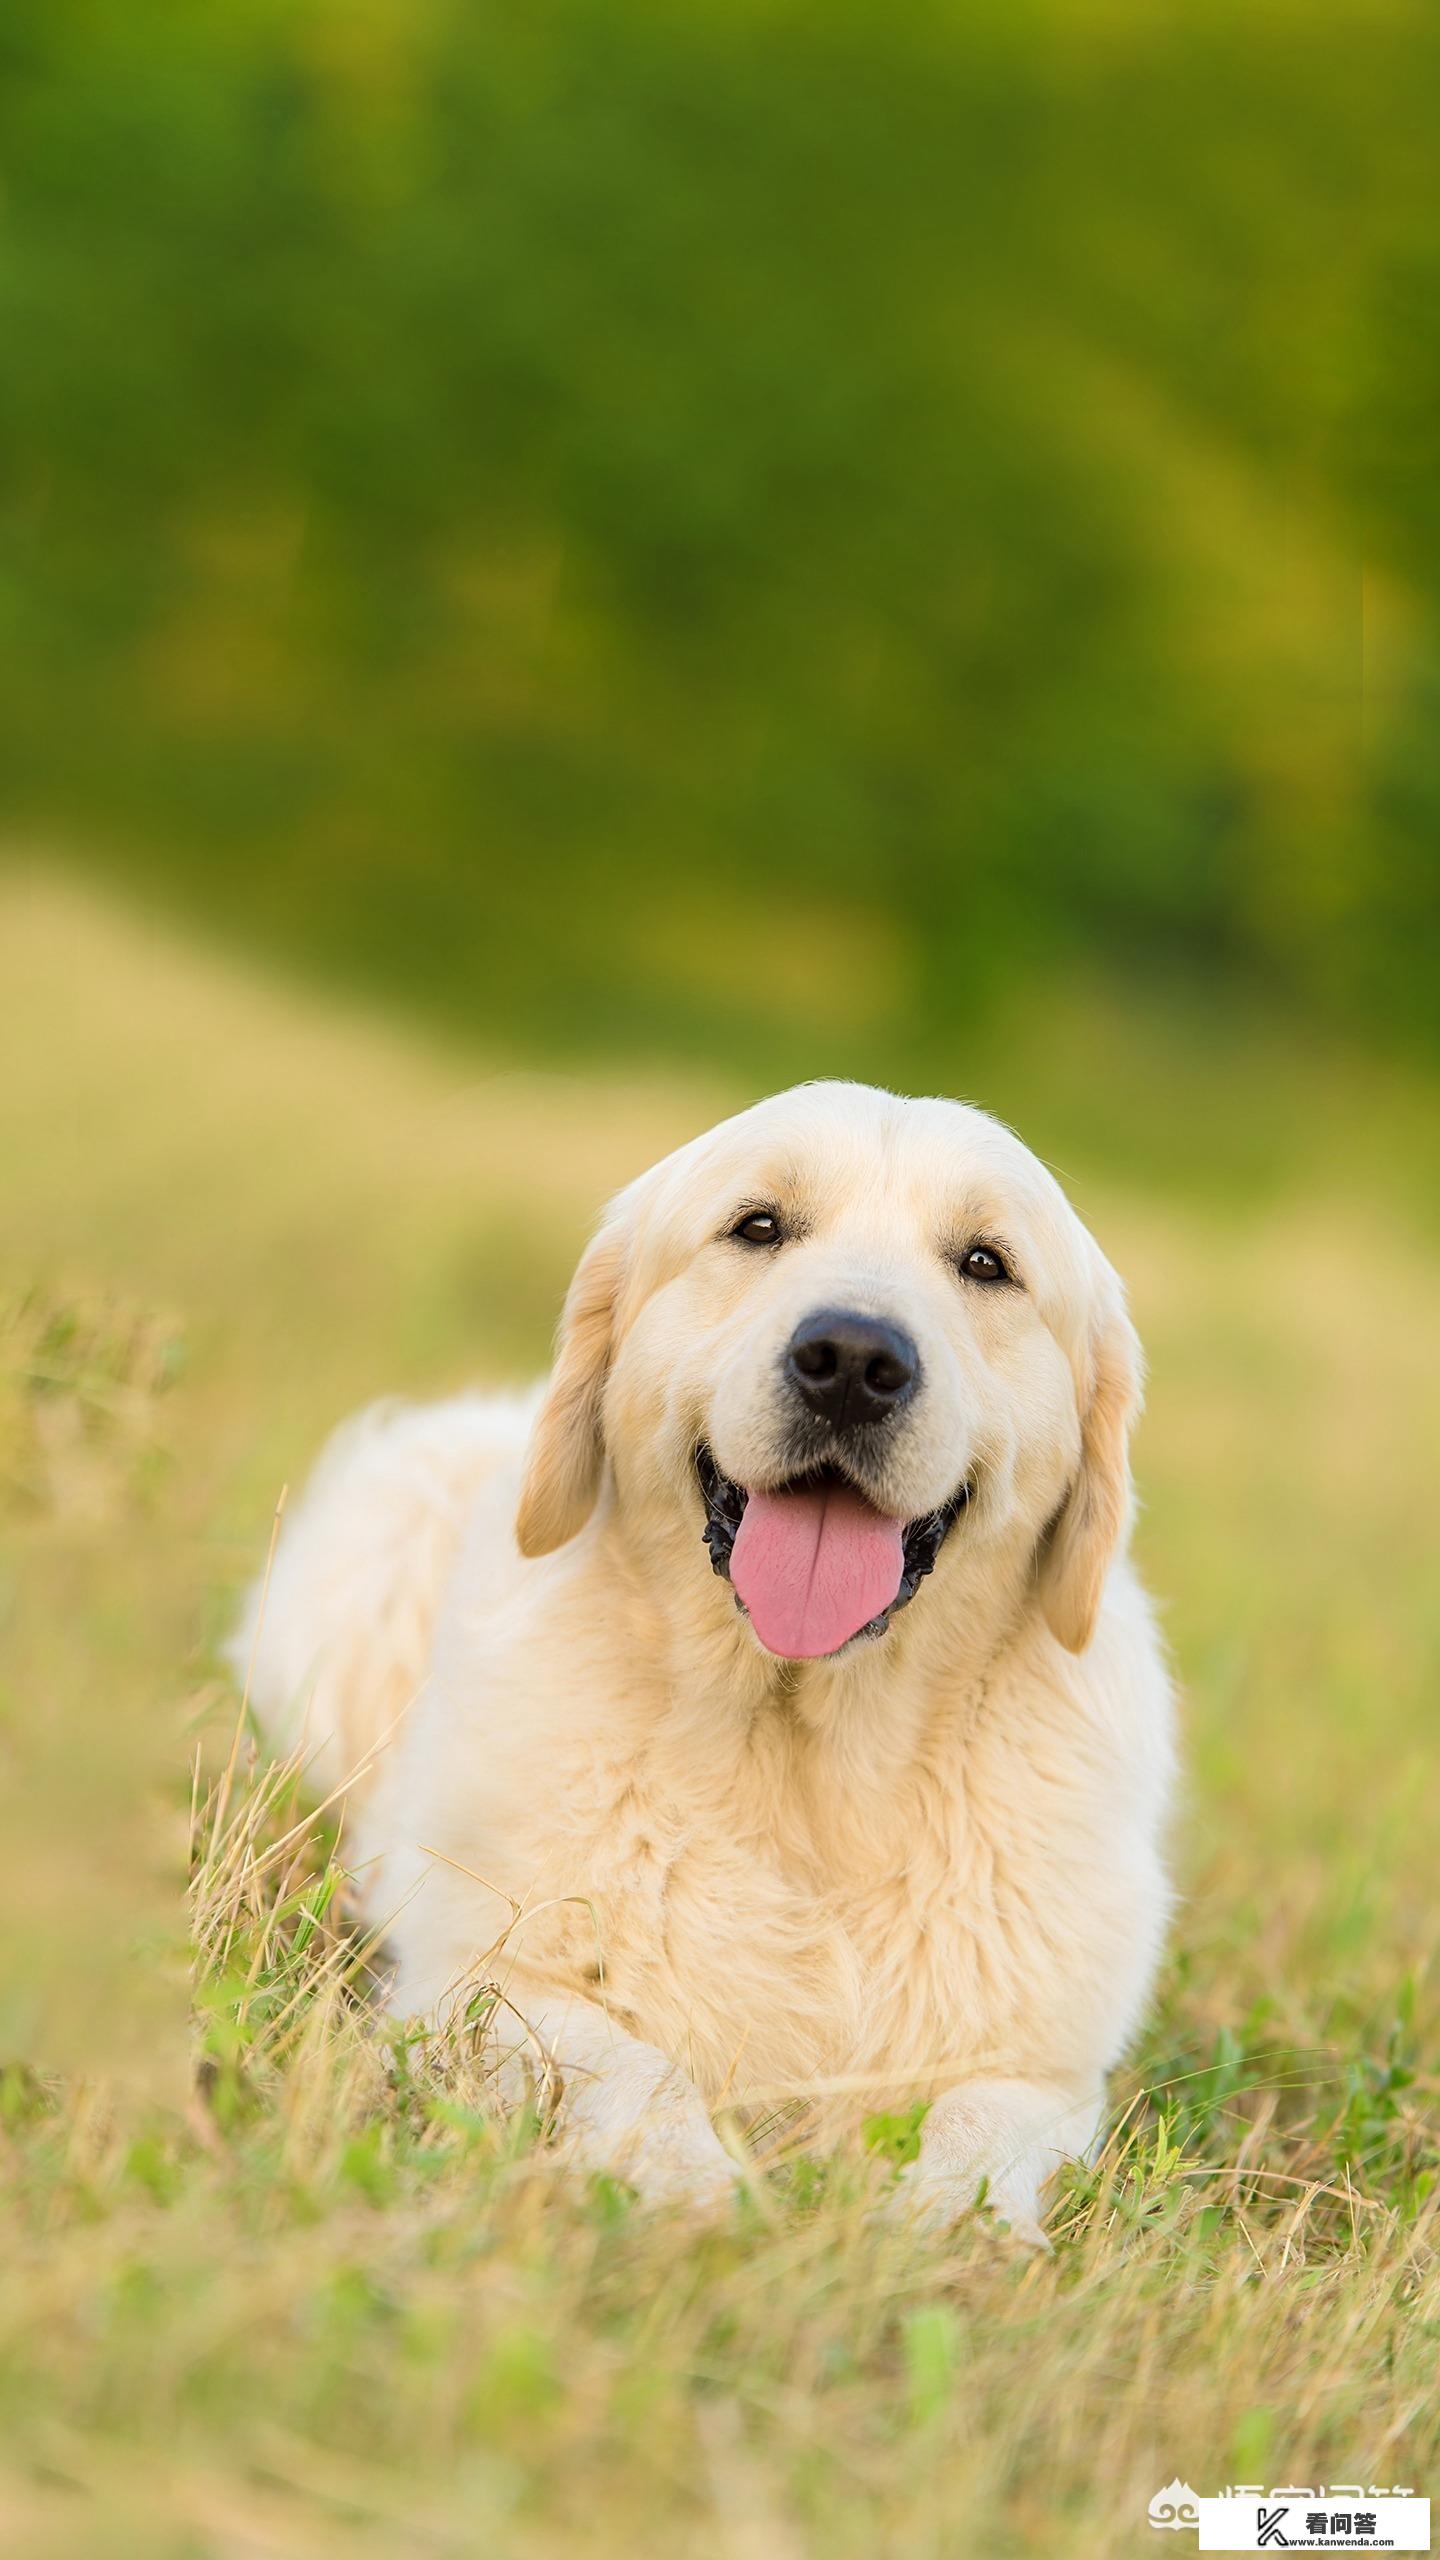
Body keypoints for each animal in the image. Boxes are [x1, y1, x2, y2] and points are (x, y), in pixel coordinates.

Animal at [233, 1085, 1168, 2242]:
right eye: (758, 1226)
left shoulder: (1040, 2074)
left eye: (986, 1262)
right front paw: (695, 2197)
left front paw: (937, 2236)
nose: (853, 1361)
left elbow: (973, 2132)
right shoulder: (484, 1980)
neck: (810, 1762)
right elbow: (639, 2071)